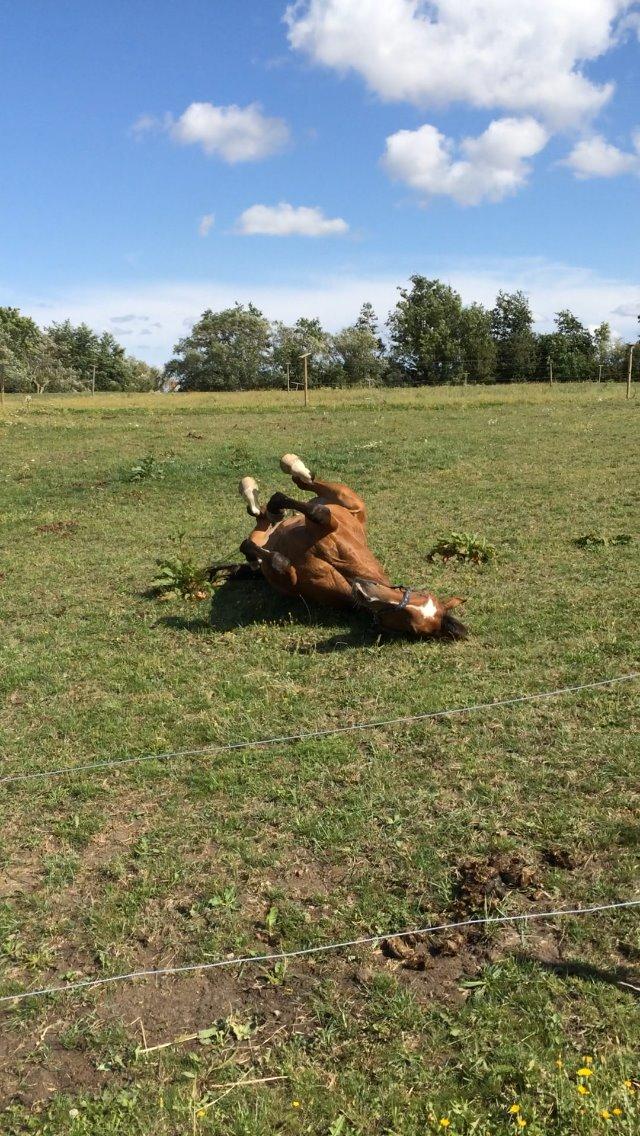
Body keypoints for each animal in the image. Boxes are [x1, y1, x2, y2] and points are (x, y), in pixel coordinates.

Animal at [234, 454, 466, 645]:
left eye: (408, 623)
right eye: (420, 593)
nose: (366, 591)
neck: (345, 572)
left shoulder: (289, 579)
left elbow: (274, 559)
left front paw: (258, 556)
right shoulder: (327, 525)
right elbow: (317, 512)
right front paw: (278, 501)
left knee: (261, 521)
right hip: (343, 496)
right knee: (304, 483)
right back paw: (278, 478)